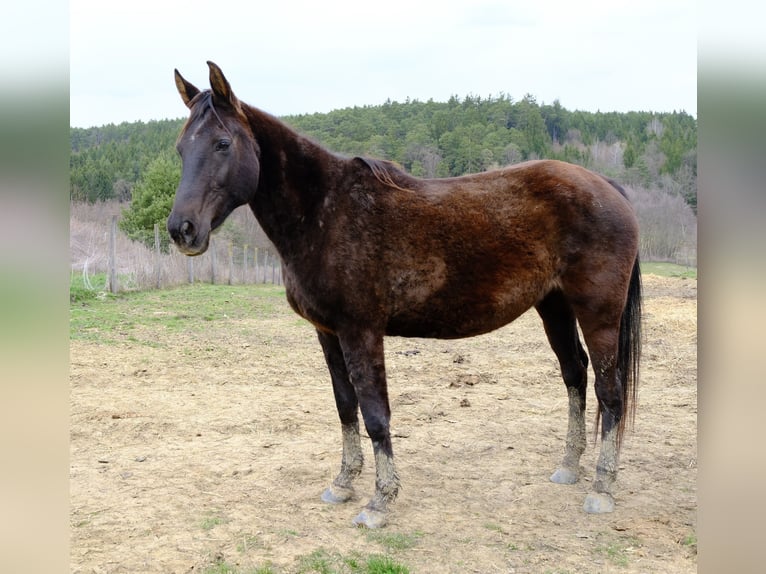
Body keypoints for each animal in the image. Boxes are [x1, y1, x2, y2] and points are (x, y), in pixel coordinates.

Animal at [168, 62, 642, 529]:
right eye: (180, 149)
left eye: (222, 143)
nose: (182, 229)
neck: (326, 212)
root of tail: (607, 186)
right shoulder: (328, 333)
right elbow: (345, 407)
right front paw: (343, 482)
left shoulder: (361, 332)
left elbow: (376, 414)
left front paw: (380, 500)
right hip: (554, 307)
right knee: (575, 375)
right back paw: (569, 467)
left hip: (599, 314)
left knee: (609, 391)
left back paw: (602, 488)